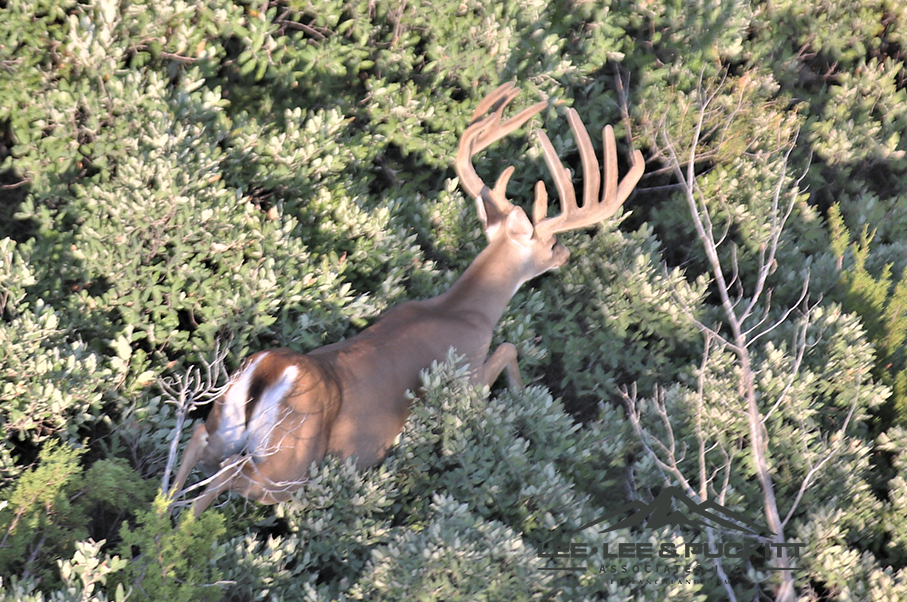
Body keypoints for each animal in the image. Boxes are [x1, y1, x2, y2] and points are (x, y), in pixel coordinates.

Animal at [165, 83, 644, 516]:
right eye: (551, 242)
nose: (564, 254)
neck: (461, 311)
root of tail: (270, 370)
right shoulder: (464, 377)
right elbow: (507, 347)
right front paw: (523, 396)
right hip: (289, 462)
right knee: (230, 472)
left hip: (227, 419)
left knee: (198, 439)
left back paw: (160, 519)